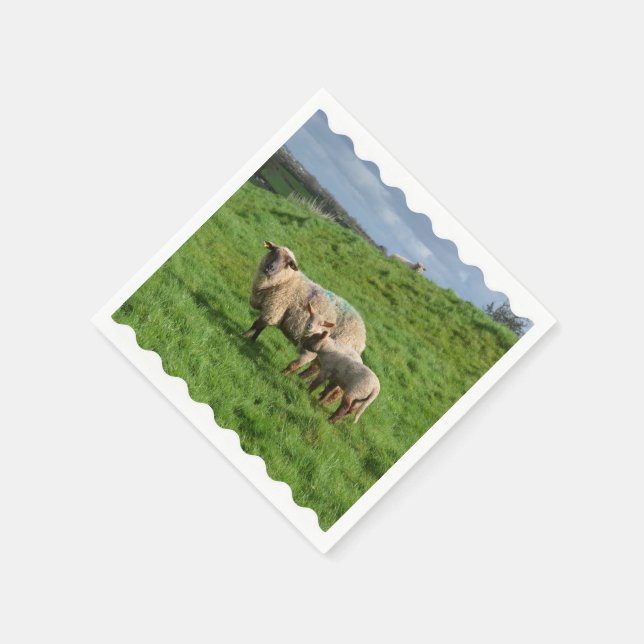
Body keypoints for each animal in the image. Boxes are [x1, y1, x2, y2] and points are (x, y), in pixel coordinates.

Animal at [243, 241, 366, 376]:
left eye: (288, 263)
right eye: (273, 251)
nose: (269, 268)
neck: (287, 280)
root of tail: (362, 339)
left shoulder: (274, 308)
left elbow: (256, 324)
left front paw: (245, 336)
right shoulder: (274, 311)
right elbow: (261, 327)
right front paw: (252, 340)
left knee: (315, 367)